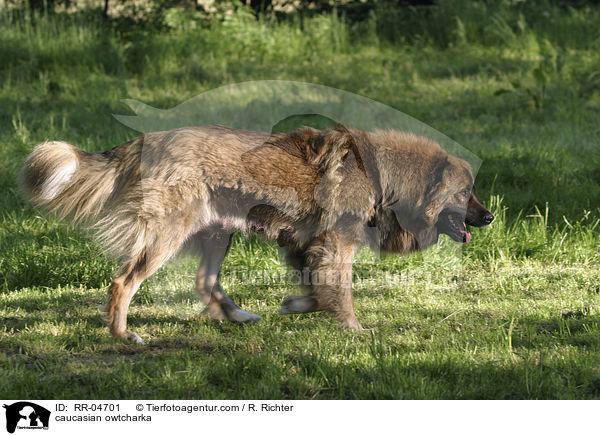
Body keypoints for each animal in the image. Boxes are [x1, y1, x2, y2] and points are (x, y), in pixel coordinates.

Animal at [21, 124, 494, 342]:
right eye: (465, 193)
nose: (489, 218)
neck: (385, 178)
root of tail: (148, 139)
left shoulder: (305, 246)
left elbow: (316, 290)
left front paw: (297, 305)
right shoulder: (335, 246)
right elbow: (340, 293)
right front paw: (354, 329)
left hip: (217, 234)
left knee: (205, 282)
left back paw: (239, 316)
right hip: (168, 235)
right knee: (123, 282)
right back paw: (123, 335)